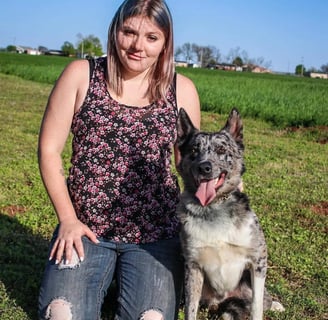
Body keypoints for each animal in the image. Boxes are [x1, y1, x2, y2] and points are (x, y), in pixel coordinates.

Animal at [176, 108, 284, 320]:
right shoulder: (193, 267)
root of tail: (221, 302)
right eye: (193, 151)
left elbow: (257, 306)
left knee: (264, 301)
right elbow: (191, 309)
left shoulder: (258, 261)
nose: (204, 167)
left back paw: (275, 305)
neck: (213, 207)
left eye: (221, 150)